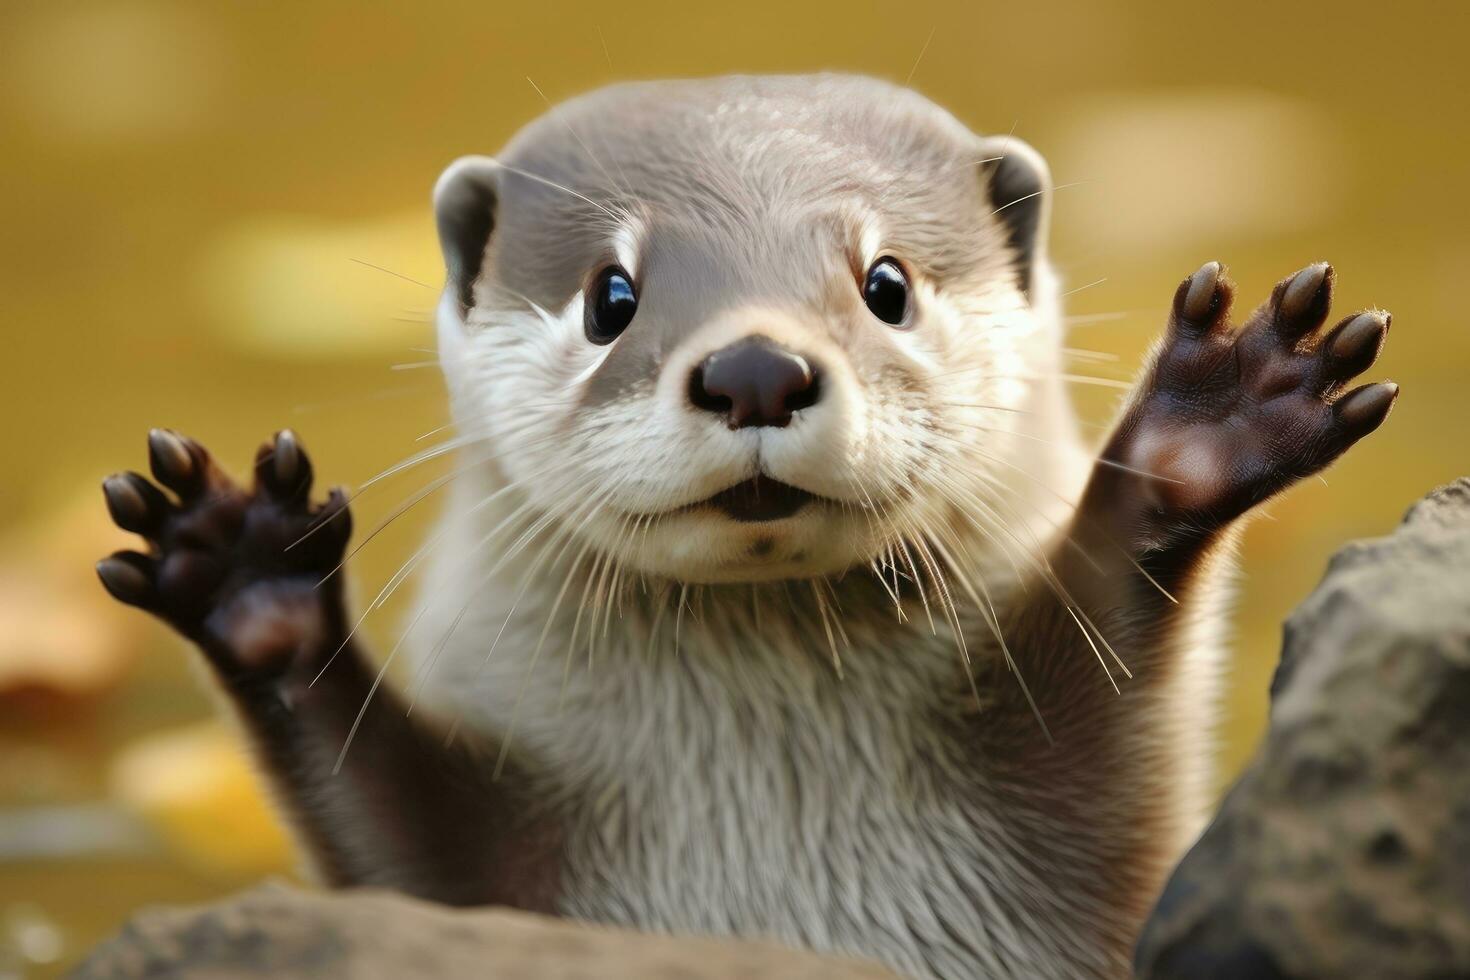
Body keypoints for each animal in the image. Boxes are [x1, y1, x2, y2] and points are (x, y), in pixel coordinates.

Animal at [94, 72, 1399, 975]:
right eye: (611, 295)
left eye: (888, 282)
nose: (758, 365)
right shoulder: (486, 873)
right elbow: (395, 837)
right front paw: (247, 574)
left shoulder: (1081, 856)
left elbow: (1105, 693)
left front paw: (1200, 431)